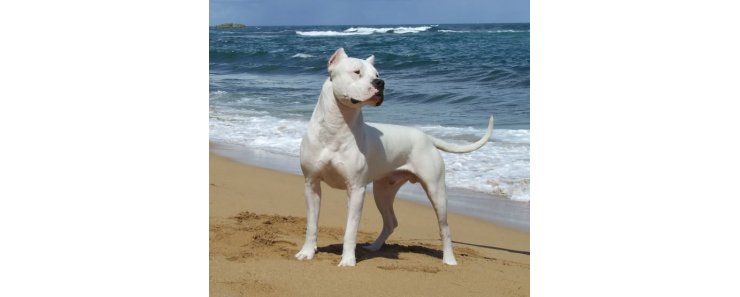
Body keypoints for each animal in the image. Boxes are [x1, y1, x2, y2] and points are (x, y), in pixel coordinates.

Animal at [294, 48, 492, 266]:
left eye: (377, 74)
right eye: (357, 72)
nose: (380, 83)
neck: (335, 128)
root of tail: (426, 137)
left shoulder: (356, 189)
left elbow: (350, 230)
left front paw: (347, 260)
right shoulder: (311, 184)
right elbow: (312, 224)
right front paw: (307, 252)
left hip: (436, 191)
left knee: (444, 228)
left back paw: (449, 260)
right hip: (383, 191)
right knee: (391, 222)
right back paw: (374, 247)